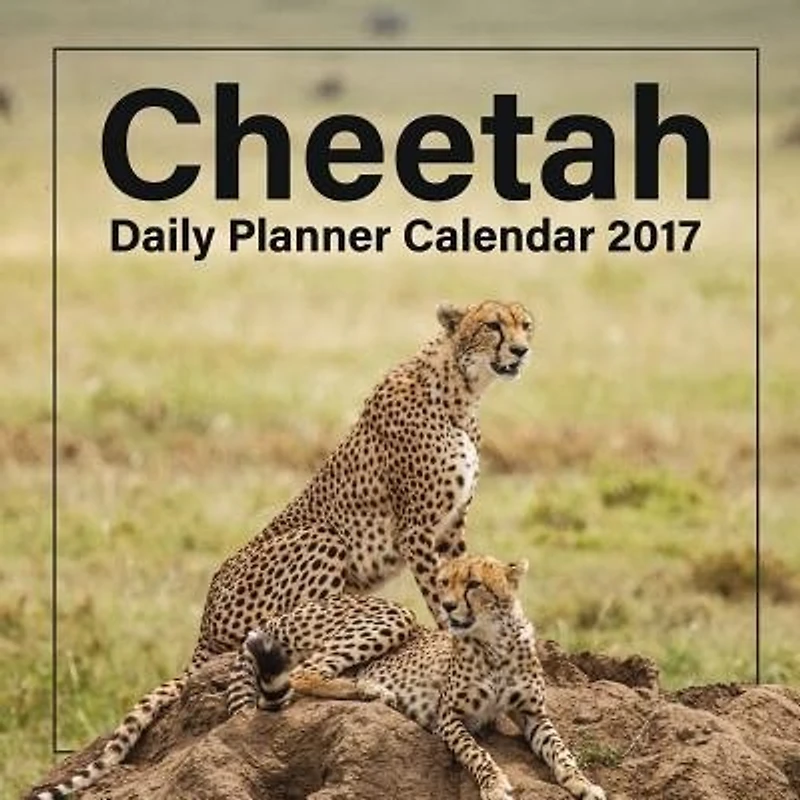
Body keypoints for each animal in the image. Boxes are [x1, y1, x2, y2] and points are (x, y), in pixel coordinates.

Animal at [32, 300, 533, 799]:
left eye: (525, 324)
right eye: (492, 325)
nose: (522, 350)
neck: (461, 388)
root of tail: (203, 627)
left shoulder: (451, 526)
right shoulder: (419, 528)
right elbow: (437, 594)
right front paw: (452, 639)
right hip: (323, 539)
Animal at [230, 553, 607, 800]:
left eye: (474, 584)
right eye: (444, 582)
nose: (448, 606)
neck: (496, 641)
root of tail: (284, 613)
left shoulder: (533, 713)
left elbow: (560, 750)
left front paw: (583, 782)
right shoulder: (449, 716)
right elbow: (476, 752)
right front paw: (494, 784)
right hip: (397, 614)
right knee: (303, 673)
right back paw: (371, 689)